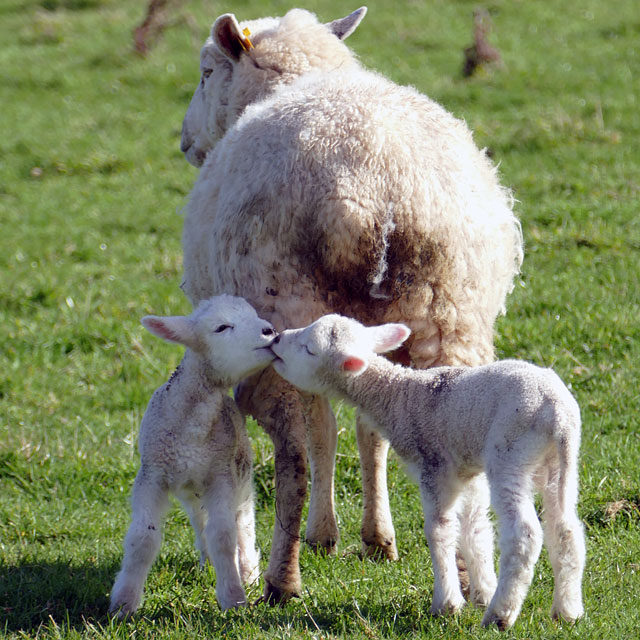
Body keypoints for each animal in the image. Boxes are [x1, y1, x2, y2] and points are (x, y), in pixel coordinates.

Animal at [108, 296, 278, 616]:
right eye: (221, 327)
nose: (270, 331)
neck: (191, 429)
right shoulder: (152, 473)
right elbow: (143, 537)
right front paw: (123, 604)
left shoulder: (221, 474)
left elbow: (224, 535)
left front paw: (234, 598)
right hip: (191, 491)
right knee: (201, 522)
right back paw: (207, 562)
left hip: (241, 475)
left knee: (243, 524)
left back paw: (248, 571)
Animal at [178, 5, 524, 604]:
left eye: (206, 71)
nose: (184, 142)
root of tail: (364, 187)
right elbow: (371, 430)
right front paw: (377, 538)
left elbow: (325, 433)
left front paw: (328, 535)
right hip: (449, 313)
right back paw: (466, 576)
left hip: (279, 312)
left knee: (293, 452)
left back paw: (282, 579)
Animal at [270, 316, 584, 632]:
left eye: (309, 348)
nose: (275, 339)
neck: (402, 396)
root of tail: (557, 411)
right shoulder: (466, 471)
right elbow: (475, 529)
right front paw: (482, 591)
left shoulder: (435, 467)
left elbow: (439, 530)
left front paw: (447, 604)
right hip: (559, 461)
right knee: (566, 527)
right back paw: (567, 610)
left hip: (510, 453)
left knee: (525, 534)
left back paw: (500, 615)